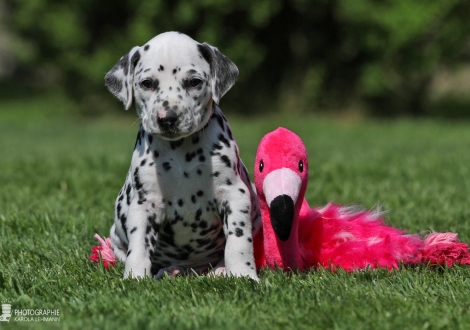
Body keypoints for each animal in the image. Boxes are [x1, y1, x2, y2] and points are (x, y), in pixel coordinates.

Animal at [103, 31, 262, 282]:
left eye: (194, 82)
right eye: (147, 83)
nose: (167, 118)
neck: (180, 151)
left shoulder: (234, 195)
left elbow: (238, 242)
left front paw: (243, 275)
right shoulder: (143, 203)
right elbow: (139, 247)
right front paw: (135, 278)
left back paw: (218, 271)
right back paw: (171, 271)